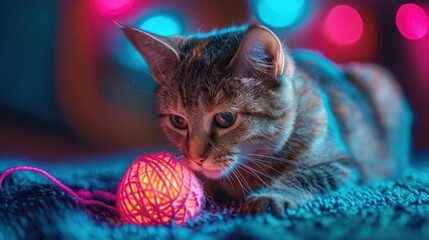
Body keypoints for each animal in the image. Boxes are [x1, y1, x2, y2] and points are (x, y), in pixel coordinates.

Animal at [117, 20, 412, 216]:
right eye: (178, 121)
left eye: (225, 118)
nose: (196, 158)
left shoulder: (342, 162)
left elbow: (306, 175)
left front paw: (273, 194)